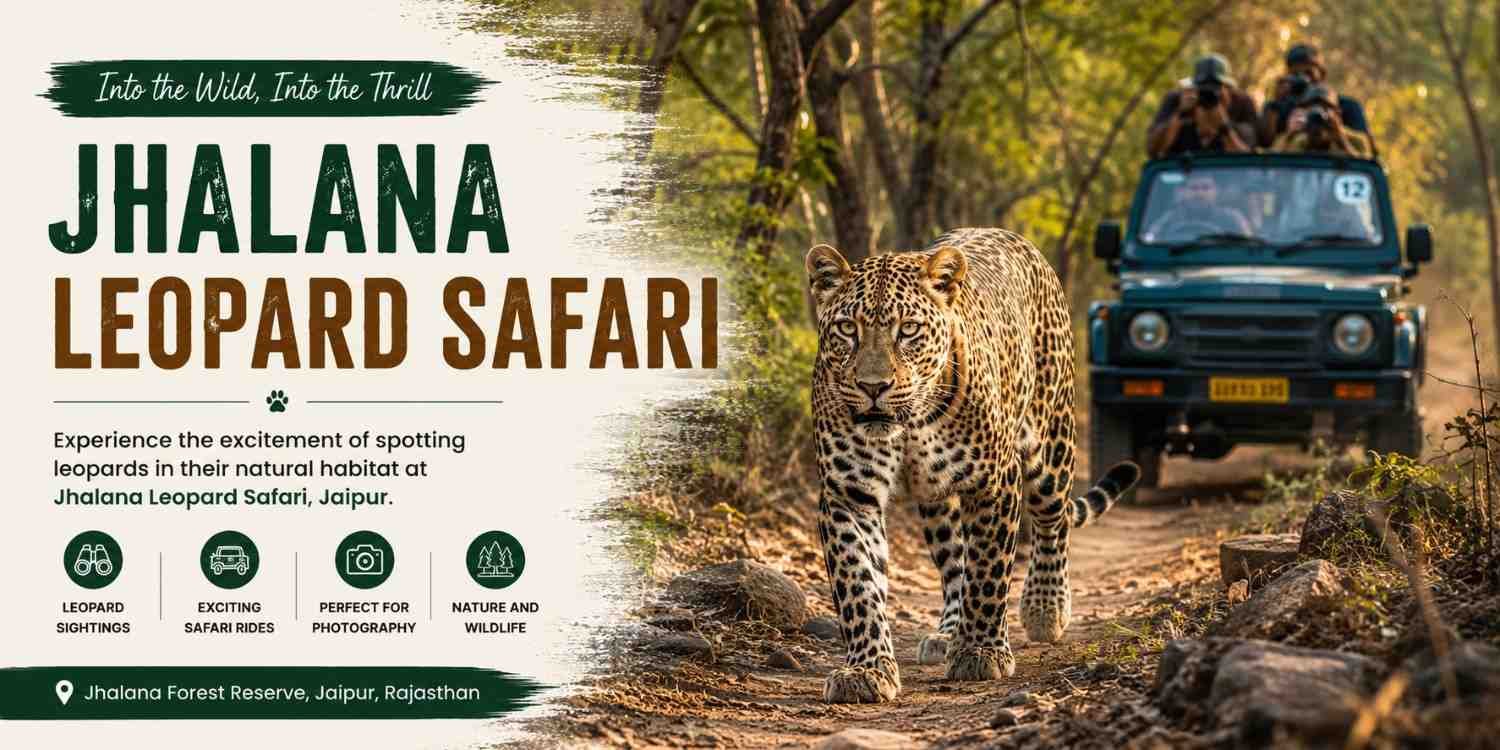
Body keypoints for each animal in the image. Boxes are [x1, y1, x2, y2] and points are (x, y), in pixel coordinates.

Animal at [804, 227, 1141, 704]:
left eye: (908, 330)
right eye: (847, 329)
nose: (873, 387)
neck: (909, 423)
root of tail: (1011, 236)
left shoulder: (994, 481)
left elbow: (988, 568)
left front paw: (981, 651)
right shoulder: (848, 492)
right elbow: (858, 584)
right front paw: (866, 670)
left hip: (1052, 439)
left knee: (1052, 520)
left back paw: (1045, 607)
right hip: (936, 499)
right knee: (953, 560)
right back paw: (948, 632)